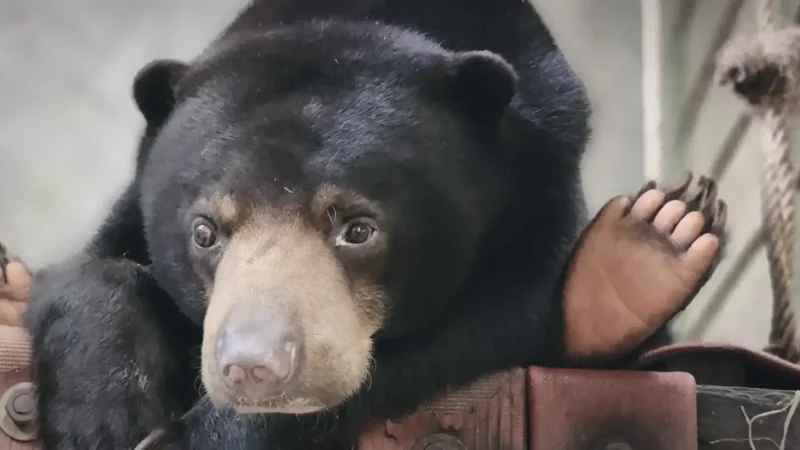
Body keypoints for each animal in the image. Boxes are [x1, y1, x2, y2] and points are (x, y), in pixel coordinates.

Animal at [22, 0, 727, 449]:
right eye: (204, 232)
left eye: (357, 229)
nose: (253, 367)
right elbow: (90, 265)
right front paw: (104, 412)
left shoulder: (541, 171)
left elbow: (478, 326)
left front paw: (194, 437)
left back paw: (645, 253)